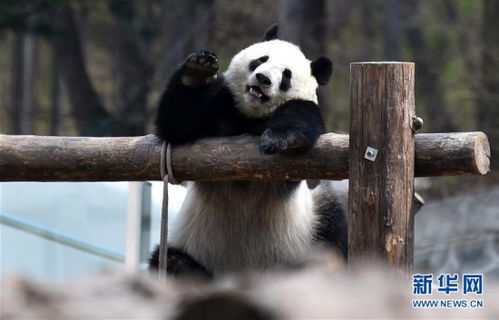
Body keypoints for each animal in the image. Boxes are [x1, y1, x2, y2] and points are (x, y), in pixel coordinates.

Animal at [150, 24, 348, 278]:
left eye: (286, 75)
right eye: (261, 60)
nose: (263, 79)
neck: (251, 117)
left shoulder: (306, 111)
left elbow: (301, 119)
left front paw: (277, 138)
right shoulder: (221, 106)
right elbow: (176, 124)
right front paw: (196, 70)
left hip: (311, 231)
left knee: (333, 226)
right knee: (170, 261)